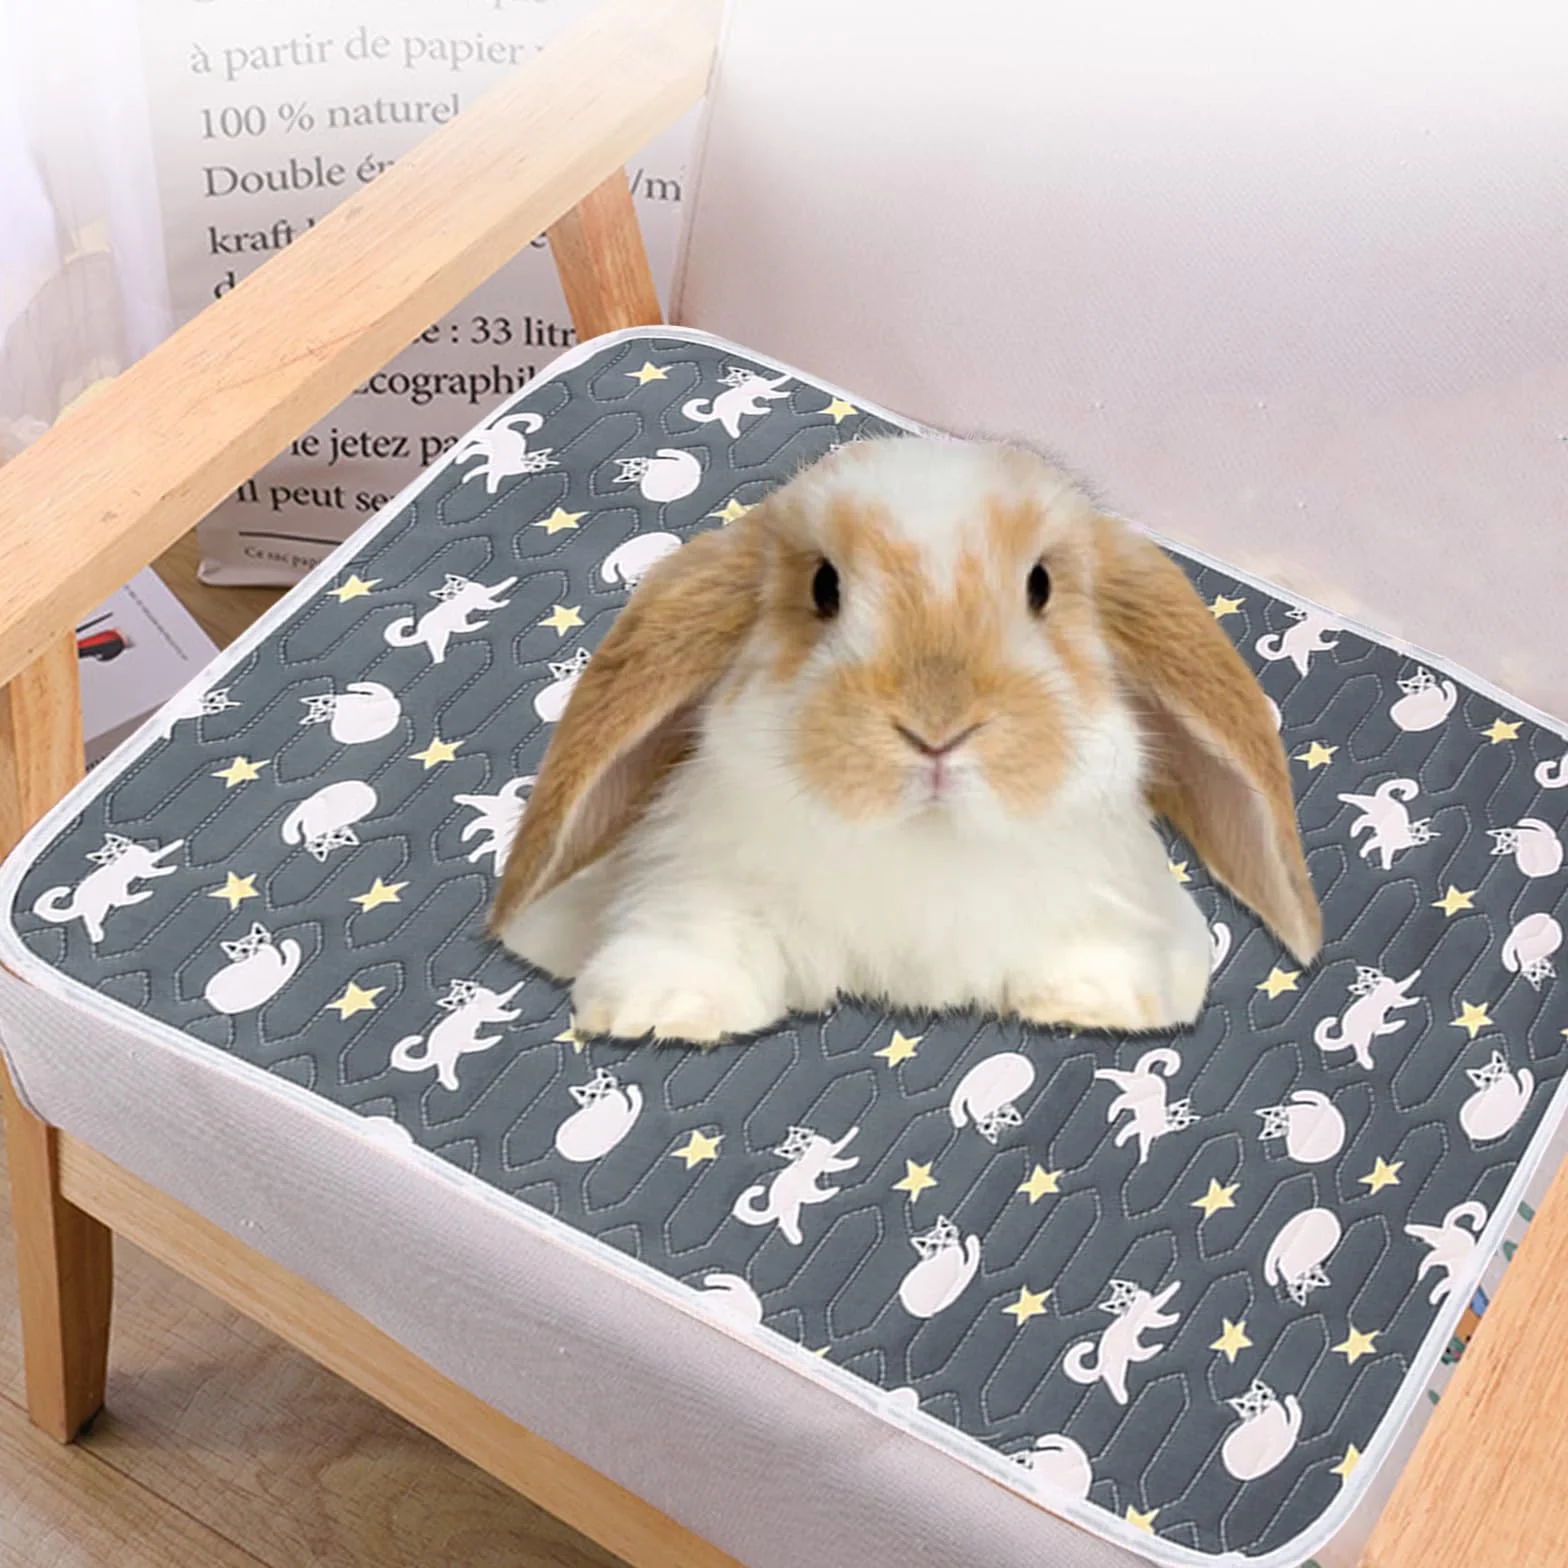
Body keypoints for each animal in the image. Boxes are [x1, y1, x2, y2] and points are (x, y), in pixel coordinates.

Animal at [489, 437, 1320, 1044]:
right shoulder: (701, 876)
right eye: (823, 587)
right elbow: (702, 932)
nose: (936, 729)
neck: (925, 839)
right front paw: (662, 1009)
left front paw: (1093, 999)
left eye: (1041, 586)